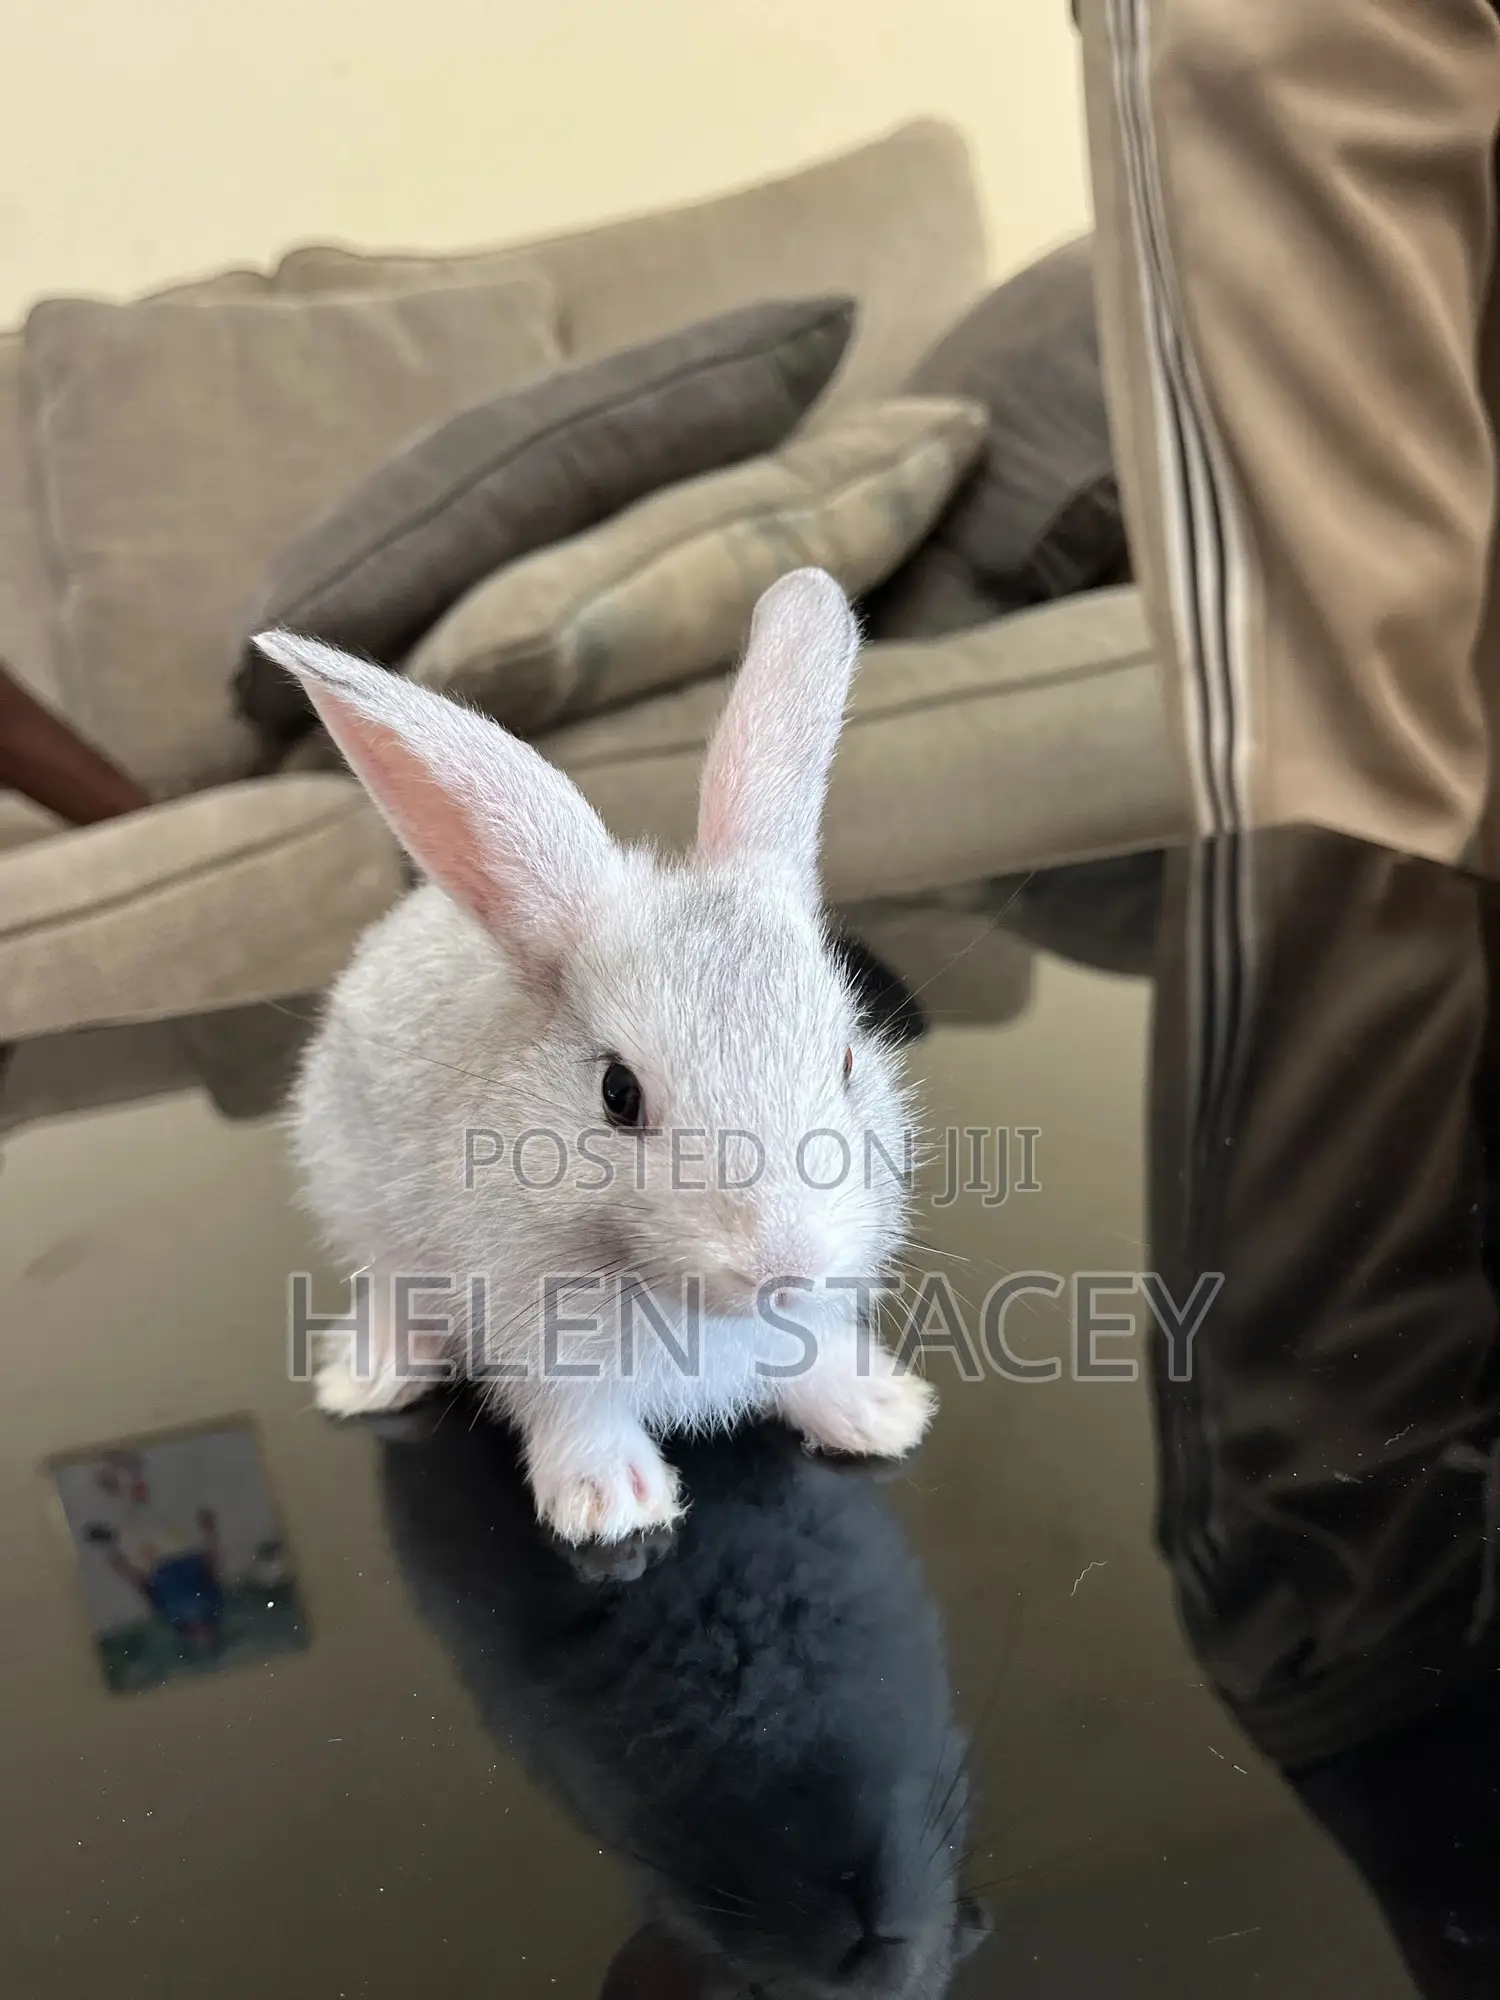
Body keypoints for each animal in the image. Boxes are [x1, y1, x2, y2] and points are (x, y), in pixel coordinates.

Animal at [253, 569, 937, 1546]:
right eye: (618, 1093)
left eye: (846, 1058)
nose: (786, 1267)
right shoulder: (541, 1349)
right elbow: (580, 1416)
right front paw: (612, 1505)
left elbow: (813, 1369)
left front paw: (879, 1412)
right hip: (357, 1201)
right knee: (387, 1288)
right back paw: (370, 1377)